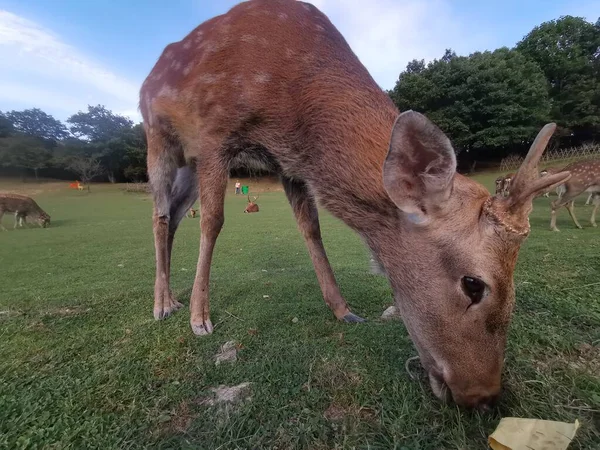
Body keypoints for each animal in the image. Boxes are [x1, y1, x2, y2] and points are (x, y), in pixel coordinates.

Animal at [138, 0, 568, 408]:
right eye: (473, 284)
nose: (485, 396)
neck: (292, 99)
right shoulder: (214, 134)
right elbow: (213, 221)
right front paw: (200, 318)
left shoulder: (289, 162)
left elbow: (311, 229)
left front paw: (343, 310)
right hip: (160, 136)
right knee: (160, 216)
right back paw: (163, 305)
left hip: (188, 161)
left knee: (174, 216)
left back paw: (170, 297)